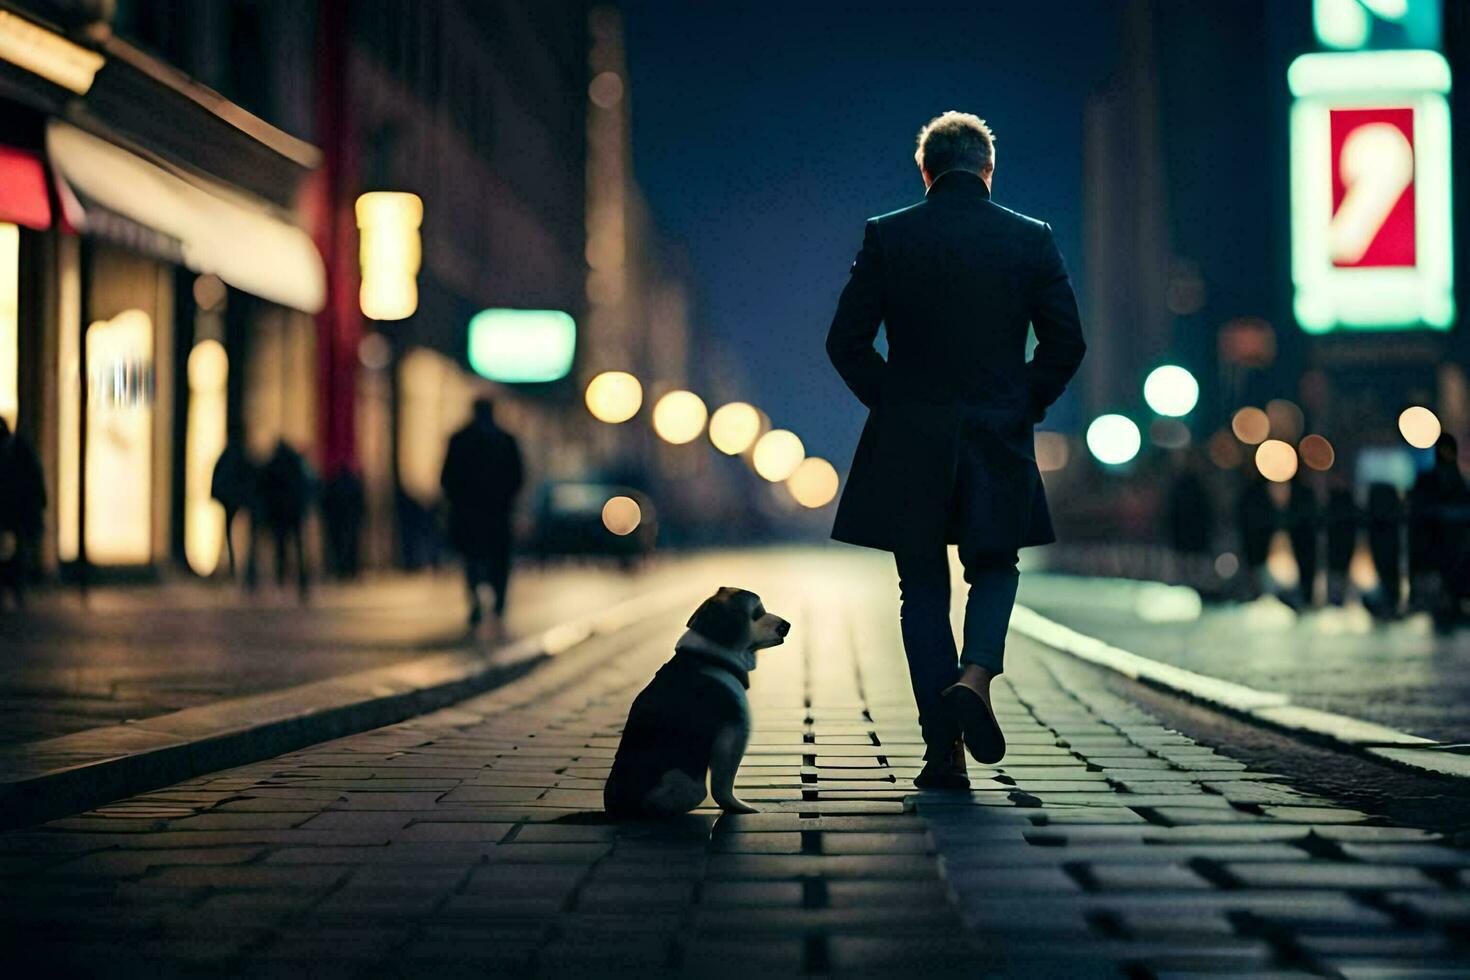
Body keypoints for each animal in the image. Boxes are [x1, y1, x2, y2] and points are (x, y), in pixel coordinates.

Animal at [605, 587, 793, 816]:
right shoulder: (734, 733)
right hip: (689, 785)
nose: (787, 625)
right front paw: (740, 808)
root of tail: (616, 808)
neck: (709, 658)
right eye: (757, 614)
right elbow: (724, 786)